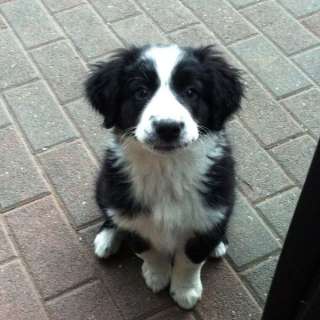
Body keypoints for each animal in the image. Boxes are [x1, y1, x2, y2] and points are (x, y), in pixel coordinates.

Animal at [85, 43, 242, 308]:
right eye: (140, 92)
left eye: (191, 92)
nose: (167, 127)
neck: (167, 169)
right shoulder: (133, 218)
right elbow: (148, 250)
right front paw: (157, 276)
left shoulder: (210, 211)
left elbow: (191, 259)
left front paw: (185, 291)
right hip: (105, 184)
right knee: (109, 212)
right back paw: (107, 238)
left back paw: (219, 243)